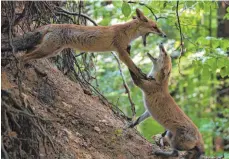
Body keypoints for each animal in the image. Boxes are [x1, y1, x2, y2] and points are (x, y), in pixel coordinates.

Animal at [19, 8, 166, 78]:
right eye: (155, 27)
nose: (164, 35)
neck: (126, 32)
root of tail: (52, 25)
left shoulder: (124, 50)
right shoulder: (121, 52)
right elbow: (134, 67)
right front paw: (143, 76)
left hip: (52, 51)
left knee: (26, 53)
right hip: (48, 50)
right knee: (24, 56)